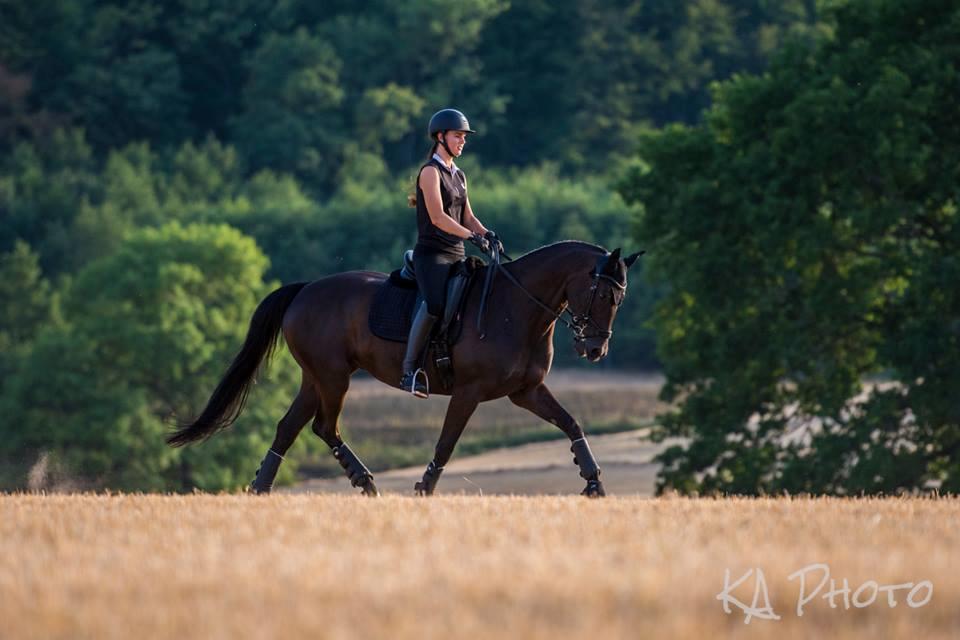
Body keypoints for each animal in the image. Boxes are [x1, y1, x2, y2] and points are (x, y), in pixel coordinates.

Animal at [166, 240, 644, 496]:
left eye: (620, 298)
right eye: (604, 294)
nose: (594, 348)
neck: (516, 307)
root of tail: (305, 289)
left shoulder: (525, 391)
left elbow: (570, 423)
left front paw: (594, 482)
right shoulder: (469, 392)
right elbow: (447, 443)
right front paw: (424, 489)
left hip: (316, 378)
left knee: (291, 427)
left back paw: (263, 488)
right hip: (333, 377)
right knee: (323, 426)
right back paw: (365, 482)